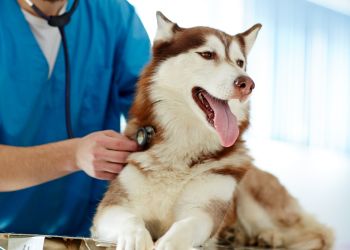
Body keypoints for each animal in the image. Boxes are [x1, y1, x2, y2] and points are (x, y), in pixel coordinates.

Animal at [91, 12, 334, 250]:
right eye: (207, 54)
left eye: (240, 62)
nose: (247, 84)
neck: (184, 145)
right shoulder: (112, 208)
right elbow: (130, 220)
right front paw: (136, 239)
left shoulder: (204, 211)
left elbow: (185, 226)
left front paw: (169, 243)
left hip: (251, 200)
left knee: (318, 233)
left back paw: (271, 236)